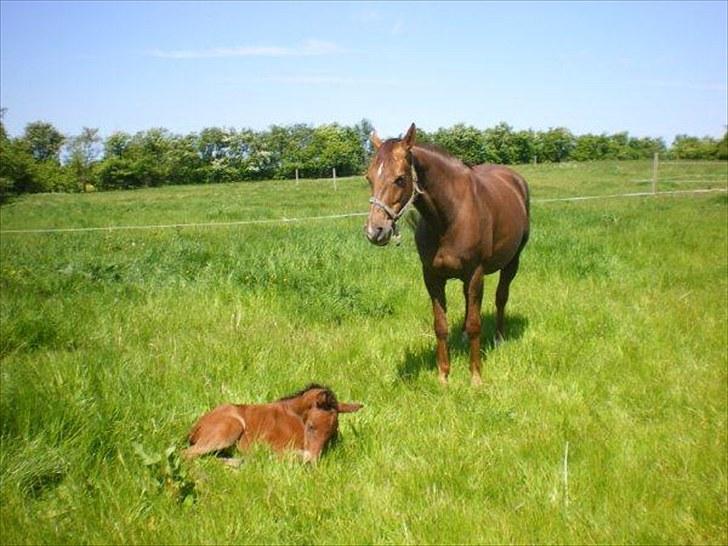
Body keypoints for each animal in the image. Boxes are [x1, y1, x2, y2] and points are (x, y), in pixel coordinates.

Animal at [185, 382, 362, 464]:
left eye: (332, 433)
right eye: (311, 426)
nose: (312, 463)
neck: (295, 417)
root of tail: (195, 428)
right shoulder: (266, 444)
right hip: (229, 430)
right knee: (187, 454)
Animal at [364, 124, 528, 386]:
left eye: (400, 179)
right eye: (369, 178)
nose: (375, 231)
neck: (450, 216)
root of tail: (515, 180)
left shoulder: (475, 273)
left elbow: (475, 324)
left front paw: (476, 377)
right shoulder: (432, 277)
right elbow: (440, 325)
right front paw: (443, 376)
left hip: (512, 262)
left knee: (501, 297)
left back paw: (499, 338)